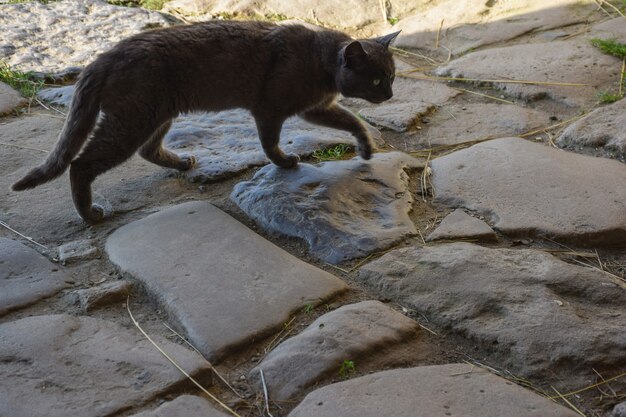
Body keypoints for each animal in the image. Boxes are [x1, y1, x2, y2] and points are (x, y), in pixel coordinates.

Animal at [13, 19, 400, 223]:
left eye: (392, 76)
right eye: (375, 80)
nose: (390, 95)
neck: (321, 61)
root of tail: (101, 59)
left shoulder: (316, 108)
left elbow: (352, 120)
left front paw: (366, 149)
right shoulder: (270, 109)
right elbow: (270, 141)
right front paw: (285, 162)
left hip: (155, 115)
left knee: (147, 150)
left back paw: (182, 163)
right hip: (130, 121)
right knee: (80, 164)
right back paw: (90, 213)